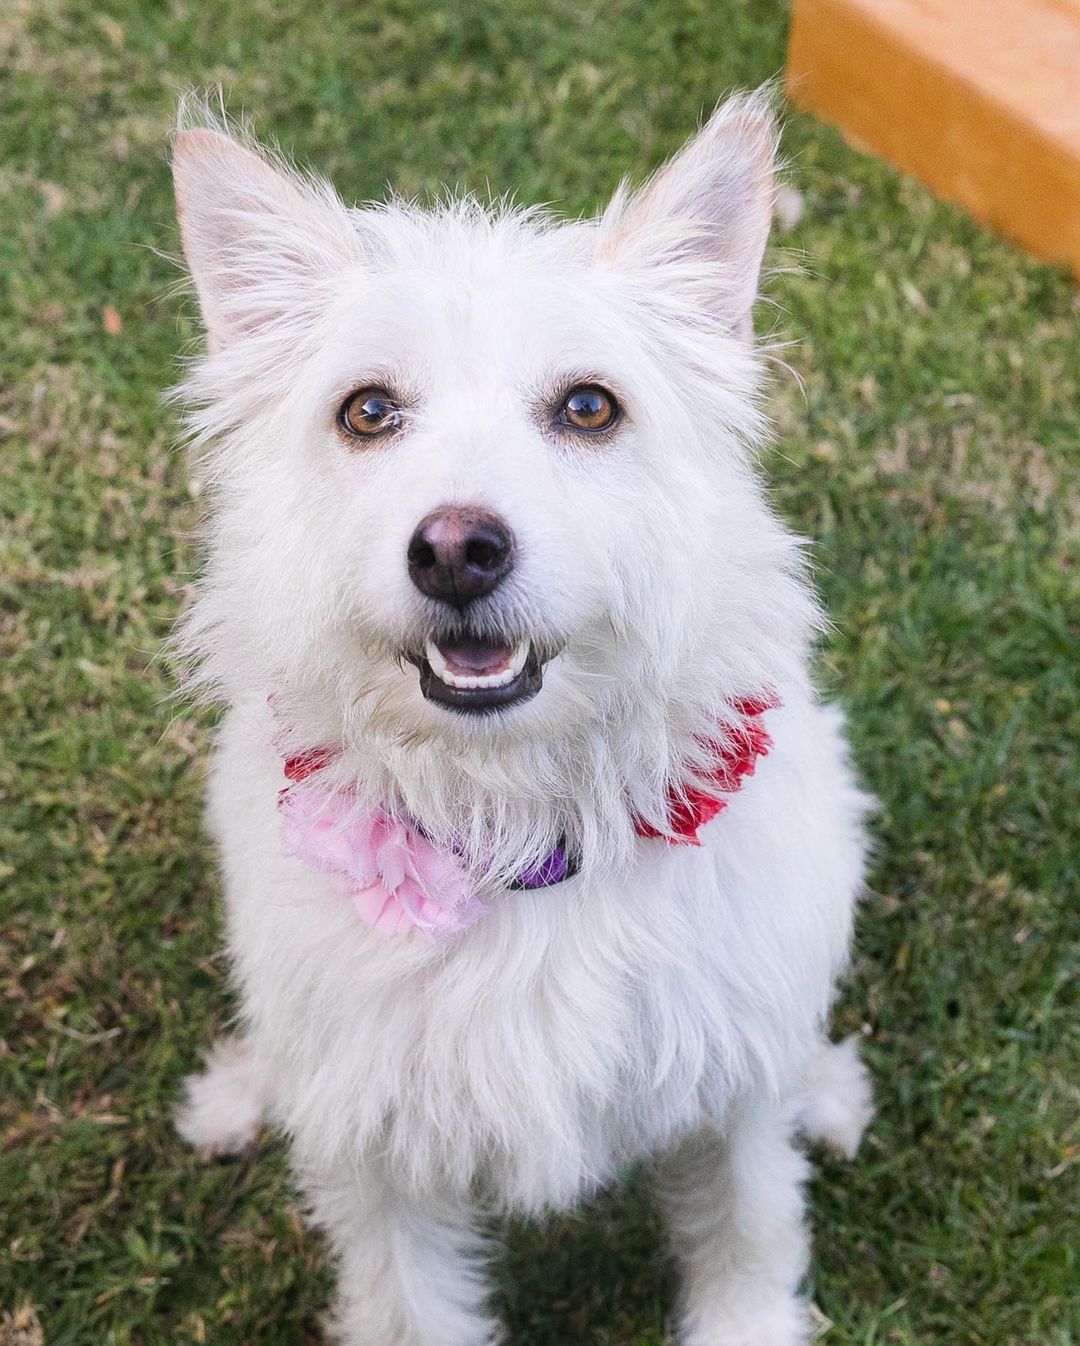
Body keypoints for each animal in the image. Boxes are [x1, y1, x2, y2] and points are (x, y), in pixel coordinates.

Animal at [170, 94, 872, 1346]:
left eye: (589, 406)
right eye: (367, 410)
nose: (456, 549)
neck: (517, 826)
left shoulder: (730, 1093)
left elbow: (747, 1229)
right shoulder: (377, 1151)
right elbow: (405, 1302)